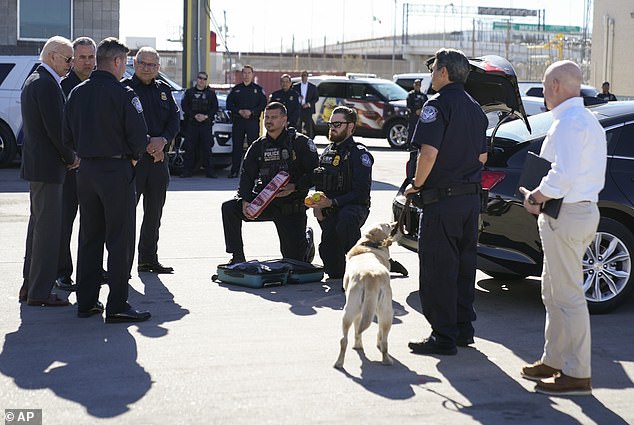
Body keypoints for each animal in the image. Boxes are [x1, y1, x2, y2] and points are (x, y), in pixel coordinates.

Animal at [334, 222, 392, 368]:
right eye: (387, 225)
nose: (394, 223)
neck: (368, 244)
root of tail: (370, 277)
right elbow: (377, 333)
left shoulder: (360, 312)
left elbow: (357, 330)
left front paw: (358, 345)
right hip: (386, 312)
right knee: (384, 340)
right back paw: (386, 360)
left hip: (349, 311)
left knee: (344, 339)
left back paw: (339, 363)